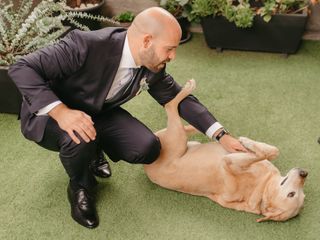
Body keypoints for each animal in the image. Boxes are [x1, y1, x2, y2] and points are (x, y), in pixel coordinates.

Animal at [144, 79, 308, 222]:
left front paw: (246, 142)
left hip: (177, 139)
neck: (263, 188)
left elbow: (262, 153)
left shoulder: (228, 161)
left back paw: (189, 89)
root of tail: (147, 167)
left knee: (171, 107)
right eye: (298, 194)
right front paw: (248, 143)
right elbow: (274, 150)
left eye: (292, 194)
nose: (304, 173)